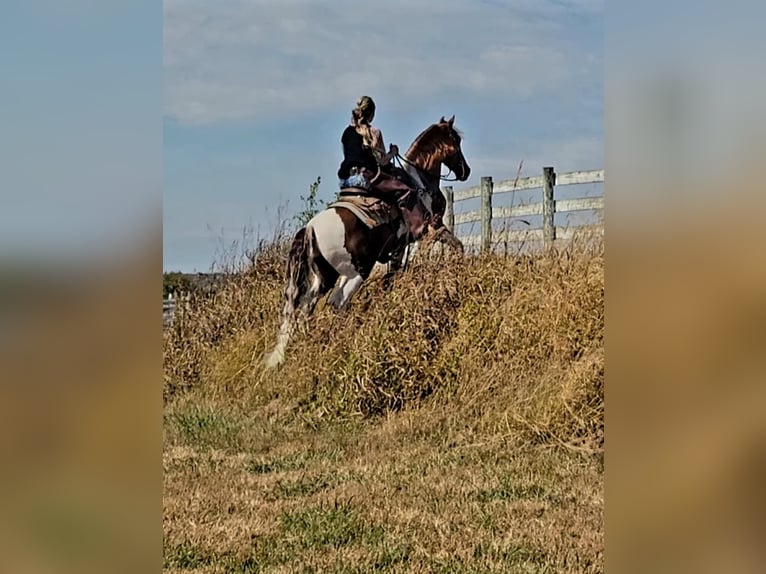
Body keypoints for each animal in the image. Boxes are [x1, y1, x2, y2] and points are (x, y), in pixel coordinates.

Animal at [262, 115, 468, 372]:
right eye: (456, 141)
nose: (466, 171)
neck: (420, 181)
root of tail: (309, 229)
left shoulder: (400, 247)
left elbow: (393, 276)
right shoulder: (432, 228)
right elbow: (455, 246)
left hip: (324, 276)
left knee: (306, 309)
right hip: (356, 270)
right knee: (335, 303)